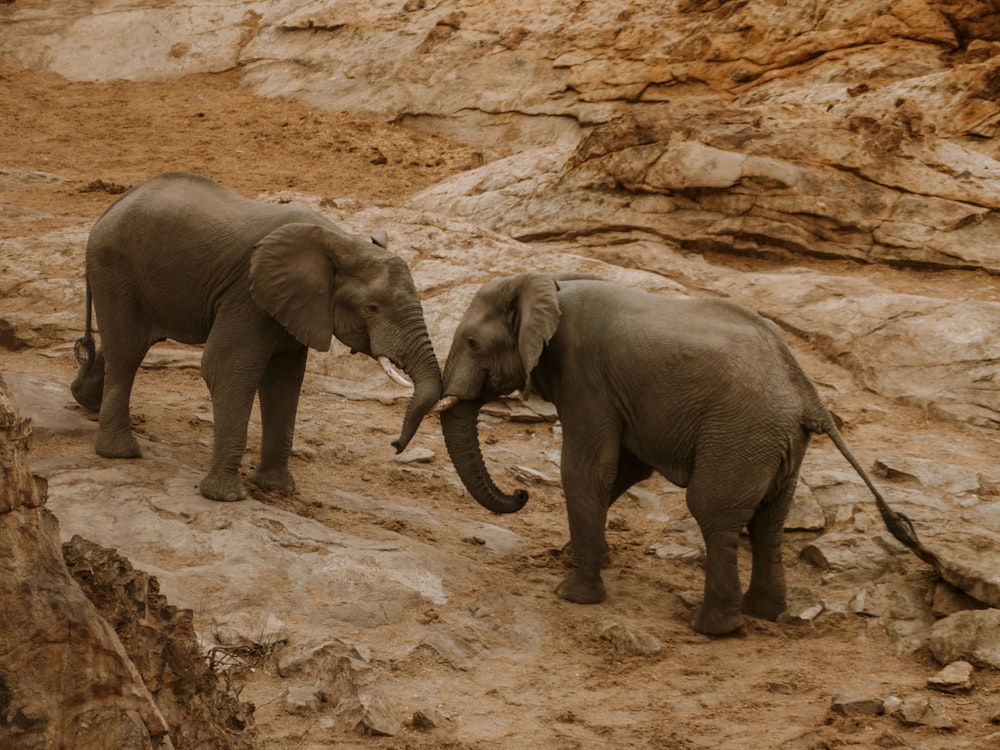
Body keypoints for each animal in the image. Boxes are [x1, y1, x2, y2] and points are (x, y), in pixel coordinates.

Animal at [72, 174, 440, 506]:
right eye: (372, 308)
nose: (395, 446)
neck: (342, 241)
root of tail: (108, 210)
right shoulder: (247, 295)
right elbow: (227, 369)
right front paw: (226, 497)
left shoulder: (293, 307)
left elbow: (284, 382)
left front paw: (277, 489)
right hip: (115, 268)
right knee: (128, 350)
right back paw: (120, 453)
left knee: (127, 343)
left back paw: (85, 401)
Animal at [442, 274, 932, 636]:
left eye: (471, 343)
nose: (520, 494)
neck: (546, 282)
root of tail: (809, 395)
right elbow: (624, 469)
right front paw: (575, 555)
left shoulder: (585, 375)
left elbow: (588, 470)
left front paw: (572, 594)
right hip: (778, 444)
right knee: (769, 521)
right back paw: (763, 613)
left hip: (741, 433)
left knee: (713, 510)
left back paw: (714, 628)